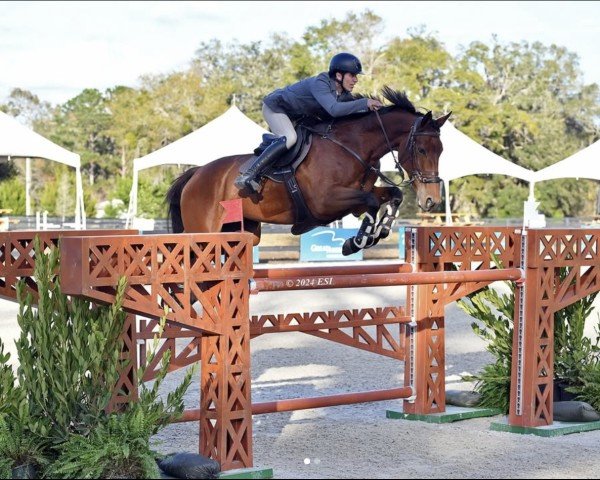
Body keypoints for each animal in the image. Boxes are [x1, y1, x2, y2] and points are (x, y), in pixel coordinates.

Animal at [166, 88, 448, 256]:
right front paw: (355, 242)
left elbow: (391, 196)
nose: (431, 199)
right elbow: (370, 203)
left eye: (441, 150)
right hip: (203, 232)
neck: (352, 147)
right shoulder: (326, 202)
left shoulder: (356, 196)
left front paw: (380, 233)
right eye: (422, 149)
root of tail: (196, 174)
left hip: (244, 233)